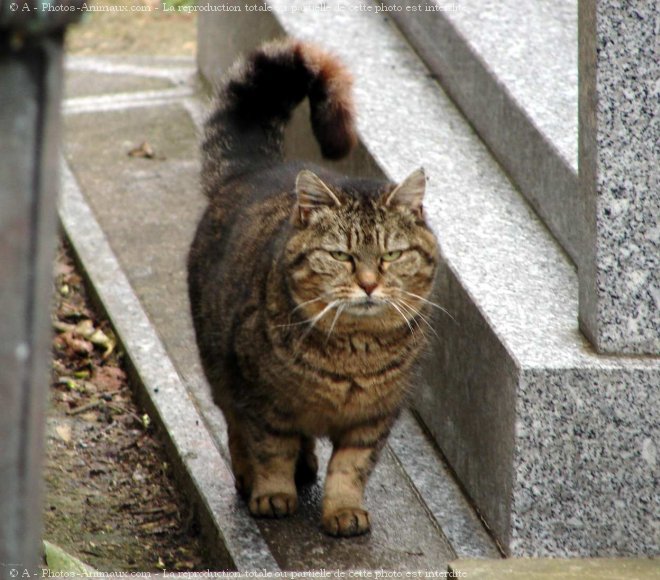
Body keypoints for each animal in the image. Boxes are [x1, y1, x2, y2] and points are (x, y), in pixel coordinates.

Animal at [187, 39, 438, 540]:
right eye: (341, 256)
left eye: (390, 256)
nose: (368, 283)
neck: (354, 354)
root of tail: (256, 169)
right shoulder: (261, 402)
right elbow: (269, 449)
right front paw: (272, 494)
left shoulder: (373, 419)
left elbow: (351, 468)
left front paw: (343, 509)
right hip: (218, 364)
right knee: (234, 425)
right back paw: (251, 475)